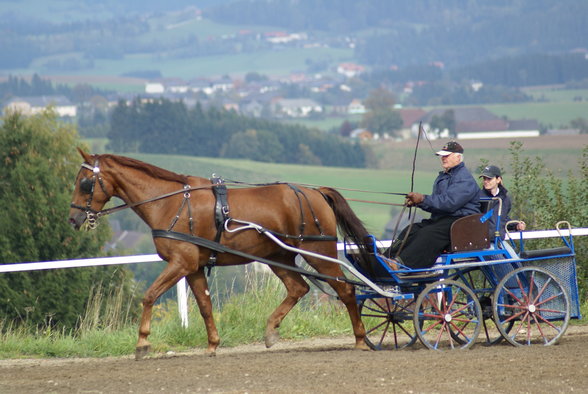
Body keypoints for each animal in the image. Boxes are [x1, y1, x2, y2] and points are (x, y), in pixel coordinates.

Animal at [69, 149, 370, 358]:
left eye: (85, 183)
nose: (73, 218)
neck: (172, 203)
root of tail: (315, 193)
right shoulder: (194, 267)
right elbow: (205, 305)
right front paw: (212, 344)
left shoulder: (181, 263)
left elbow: (150, 295)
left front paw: (142, 342)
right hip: (279, 257)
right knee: (298, 288)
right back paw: (271, 329)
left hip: (317, 252)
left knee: (346, 291)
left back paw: (359, 339)